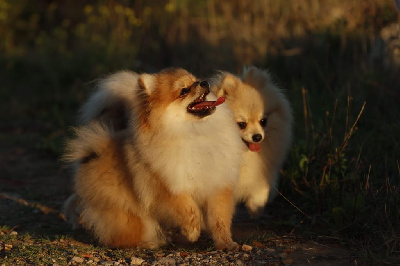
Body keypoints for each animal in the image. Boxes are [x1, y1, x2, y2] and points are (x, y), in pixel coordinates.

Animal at [64, 68, 244, 249]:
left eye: (196, 80)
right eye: (183, 91)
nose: (204, 83)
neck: (195, 132)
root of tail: (95, 151)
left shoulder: (217, 185)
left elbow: (219, 220)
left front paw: (226, 243)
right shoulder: (167, 186)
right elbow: (189, 209)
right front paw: (192, 231)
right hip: (131, 217)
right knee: (120, 237)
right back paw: (148, 243)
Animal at [212, 65, 294, 217]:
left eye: (263, 121)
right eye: (241, 124)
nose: (257, 137)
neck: (244, 155)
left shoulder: (262, 172)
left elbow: (261, 191)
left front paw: (255, 208)